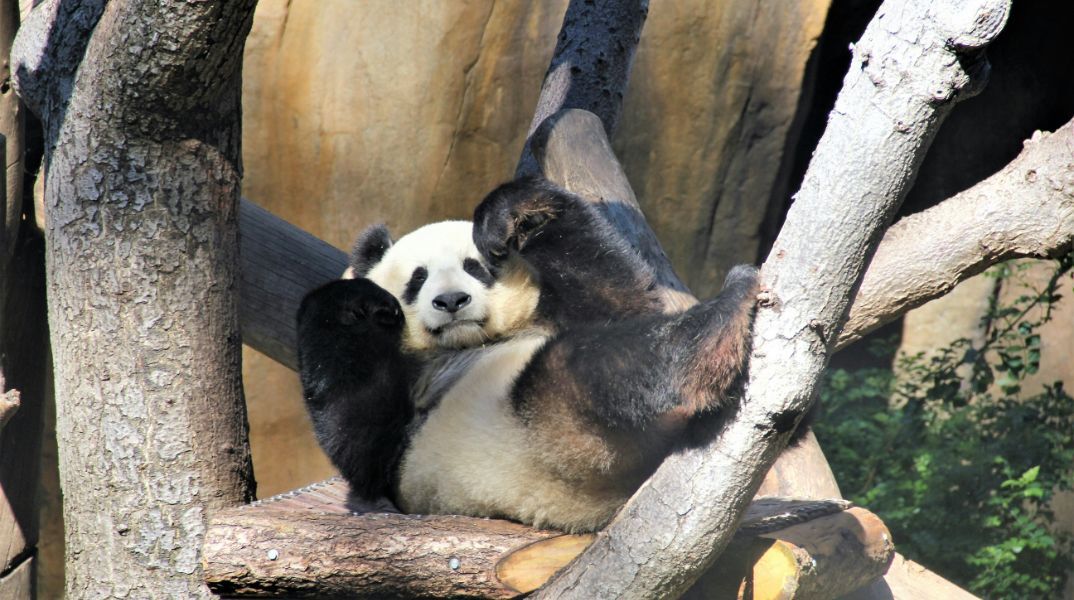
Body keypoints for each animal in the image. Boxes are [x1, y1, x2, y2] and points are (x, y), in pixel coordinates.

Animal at [298, 176, 760, 532]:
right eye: (418, 279)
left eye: (476, 268)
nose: (451, 301)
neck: (472, 342)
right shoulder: (404, 431)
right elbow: (365, 446)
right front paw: (358, 303)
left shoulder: (556, 309)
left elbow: (622, 299)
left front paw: (513, 217)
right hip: (558, 439)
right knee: (592, 367)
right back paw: (723, 315)